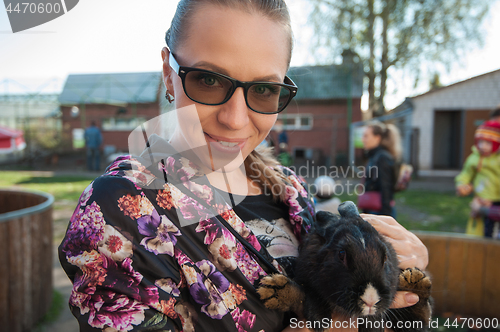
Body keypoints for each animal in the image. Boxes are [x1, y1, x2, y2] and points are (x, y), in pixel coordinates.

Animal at [256, 201, 432, 330]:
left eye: (386, 256)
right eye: (341, 254)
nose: (370, 300)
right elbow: (306, 294)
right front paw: (275, 290)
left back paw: (415, 281)